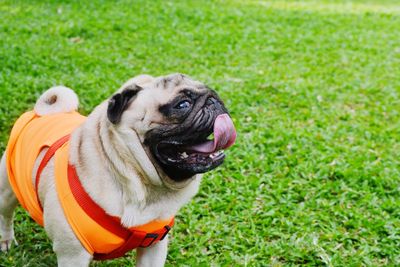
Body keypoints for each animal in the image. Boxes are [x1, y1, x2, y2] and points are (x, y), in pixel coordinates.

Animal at [0, 74, 236, 267]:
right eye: (182, 104)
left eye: (212, 92)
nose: (214, 99)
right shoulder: (73, 255)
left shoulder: (154, 247)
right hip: (7, 189)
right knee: (6, 215)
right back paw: (6, 241)